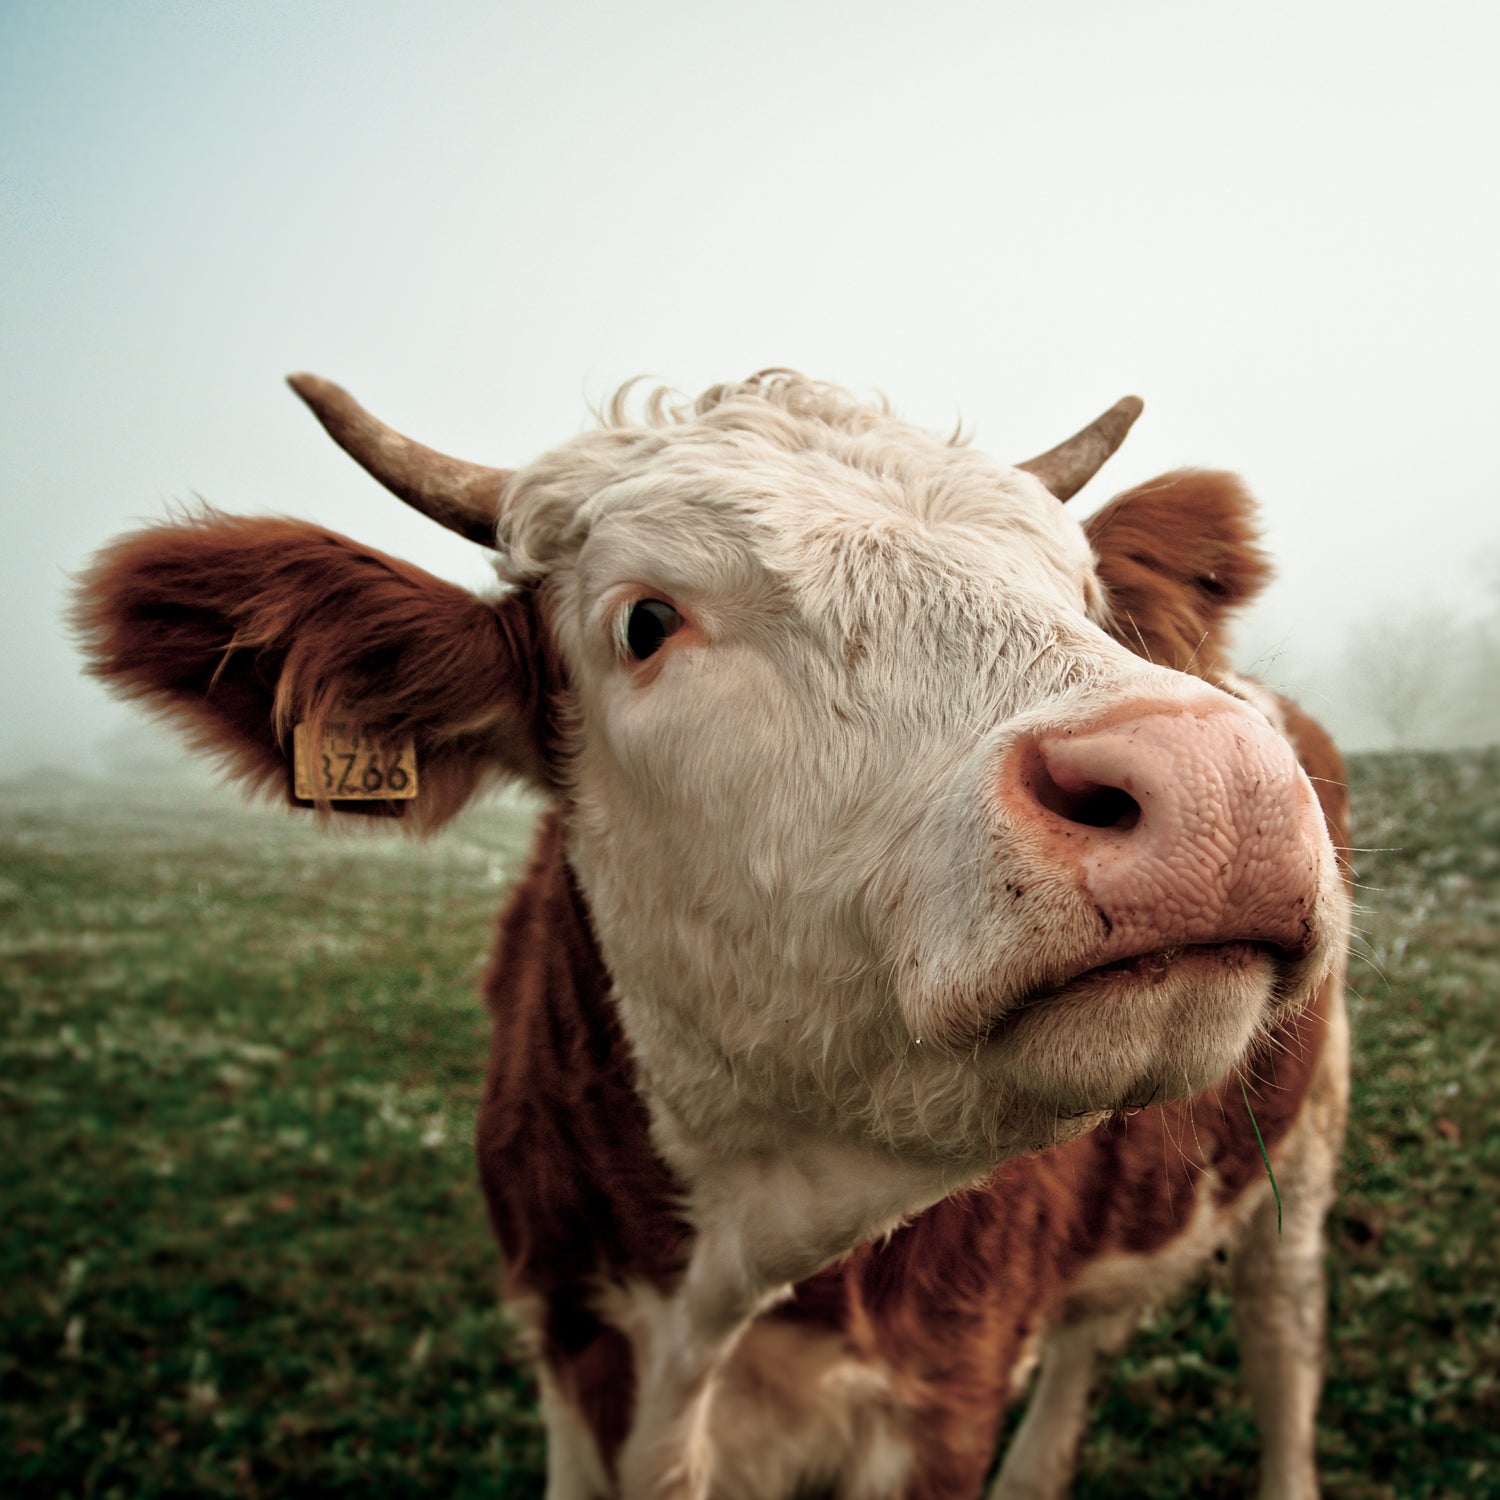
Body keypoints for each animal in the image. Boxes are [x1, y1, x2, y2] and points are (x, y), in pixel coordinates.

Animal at [75, 370, 1350, 1500]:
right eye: (647, 622)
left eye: (1083, 596)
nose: (1212, 780)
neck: (717, 1289)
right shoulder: (567, 1352)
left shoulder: (944, 1395)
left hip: (1306, 1150)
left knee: (1283, 1343)